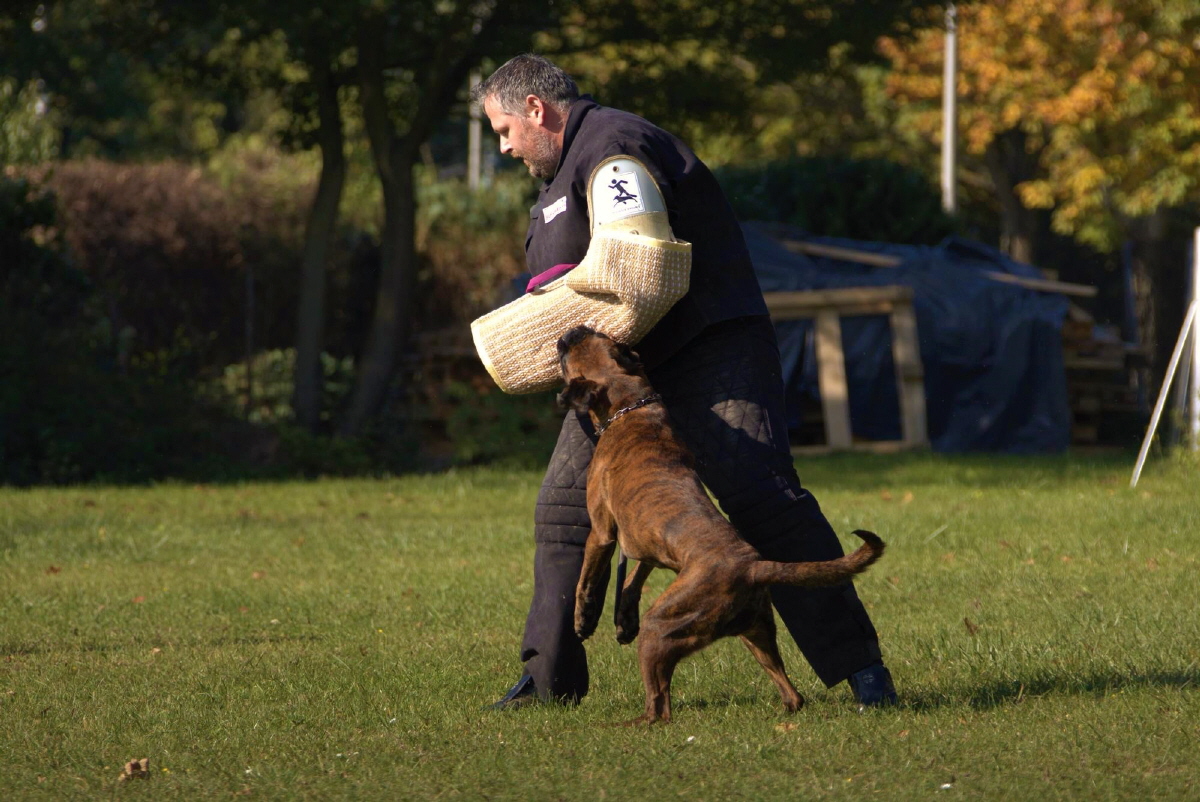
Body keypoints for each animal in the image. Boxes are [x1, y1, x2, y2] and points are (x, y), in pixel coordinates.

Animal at [556, 325, 884, 724]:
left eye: (573, 351)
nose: (573, 330)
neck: (631, 407)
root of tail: (755, 567)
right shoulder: (645, 546)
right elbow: (632, 579)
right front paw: (623, 620)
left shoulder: (602, 533)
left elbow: (587, 581)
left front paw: (583, 620)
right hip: (755, 634)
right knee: (792, 693)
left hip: (661, 629)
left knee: (660, 707)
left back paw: (635, 723)